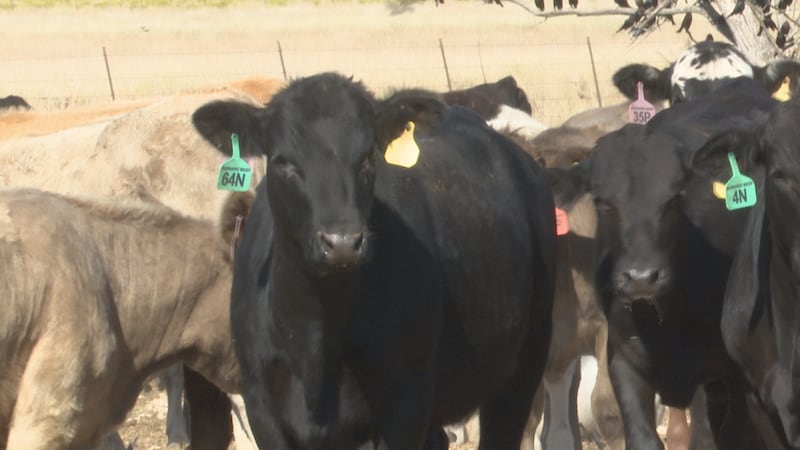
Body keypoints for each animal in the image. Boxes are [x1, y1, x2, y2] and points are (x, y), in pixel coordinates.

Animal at [191, 71, 557, 450]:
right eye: (284, 161)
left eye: (367, 158)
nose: (341, 243)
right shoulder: (261, 407)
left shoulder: (406, 405)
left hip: (524, 364)